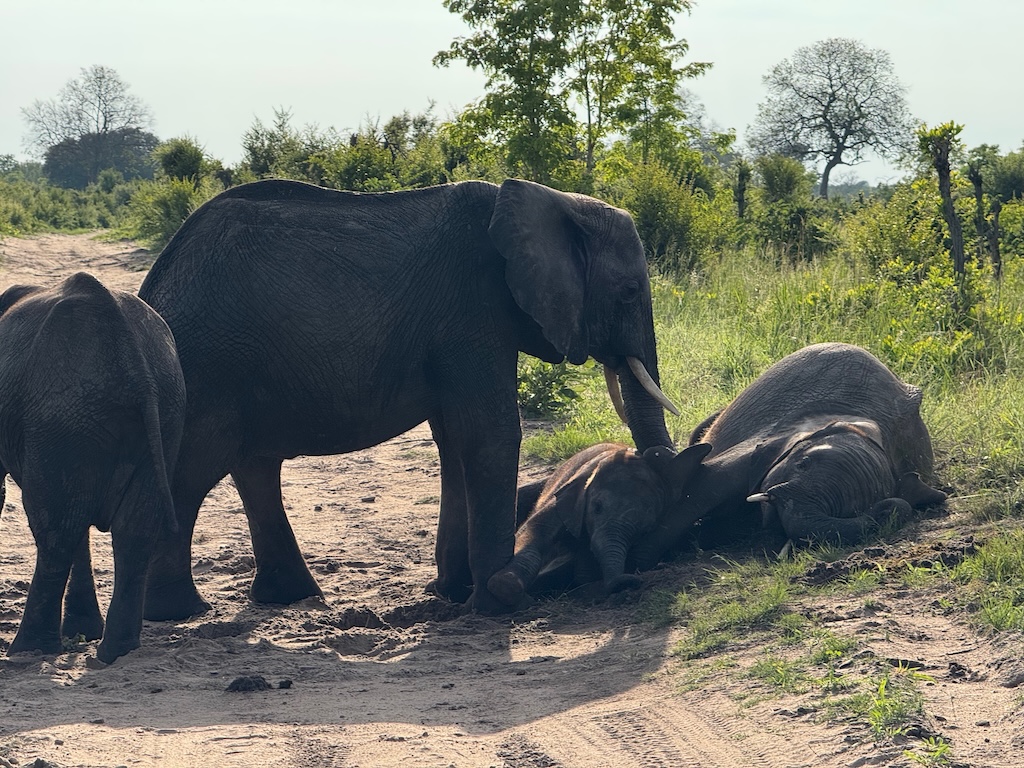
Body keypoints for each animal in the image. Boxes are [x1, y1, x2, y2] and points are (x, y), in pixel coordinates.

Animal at [0, 273, 185, 663]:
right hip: (162, 410)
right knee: (132, 528)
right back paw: (116, 652)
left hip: (61, 415)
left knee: (55, 528)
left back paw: (28, 650)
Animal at [136, 177, 678, 619]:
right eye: (630, 292)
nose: (645, 459)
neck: (553, 200)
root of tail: (154, 287)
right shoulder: (472, 310)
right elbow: (490, 432)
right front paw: (498, 606)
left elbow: (454, 438)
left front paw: (454, 593)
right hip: (211, 364)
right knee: (192, 473)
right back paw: (176, 611)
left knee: (254, 466)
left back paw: (287, 598)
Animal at [487, 441, 710, 604]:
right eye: (597, 507)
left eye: (644, 531)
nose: (631, 581)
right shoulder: (564, 501)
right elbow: (532, 534)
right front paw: (523, 598)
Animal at [629, 342, 946, 567]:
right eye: (803, 464)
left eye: (852, 509)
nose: (888, 509)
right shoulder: (764, 441)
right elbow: (701, 491)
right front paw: (634, 566)